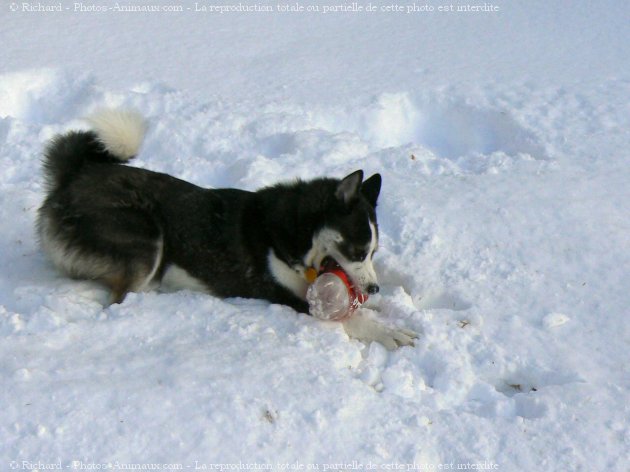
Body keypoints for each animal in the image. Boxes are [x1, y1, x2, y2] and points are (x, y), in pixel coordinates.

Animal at [37, 109, 418, 348]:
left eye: (373, 253)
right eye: (357, 250)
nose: (374, 287)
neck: (295, 234)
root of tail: (74, 176)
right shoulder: (293, 299)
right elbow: (352, 319)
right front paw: (388, 332)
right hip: (146, 240)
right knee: (120, 295)